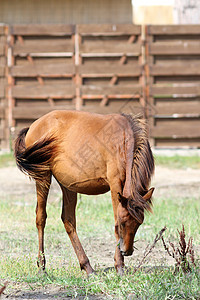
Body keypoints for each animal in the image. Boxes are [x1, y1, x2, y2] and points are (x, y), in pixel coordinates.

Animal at [14, 109, 155, 274]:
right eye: (123, 223)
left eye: (139, 223)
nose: (127, 251)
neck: (124, 139)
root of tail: (33, 125)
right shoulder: (115, 184)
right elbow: (114, 224)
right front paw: (119, 266)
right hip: (43, 177)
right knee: (41, 217)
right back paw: (42, 266)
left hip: (67, 186)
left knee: (68, 220)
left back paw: (87, 266)